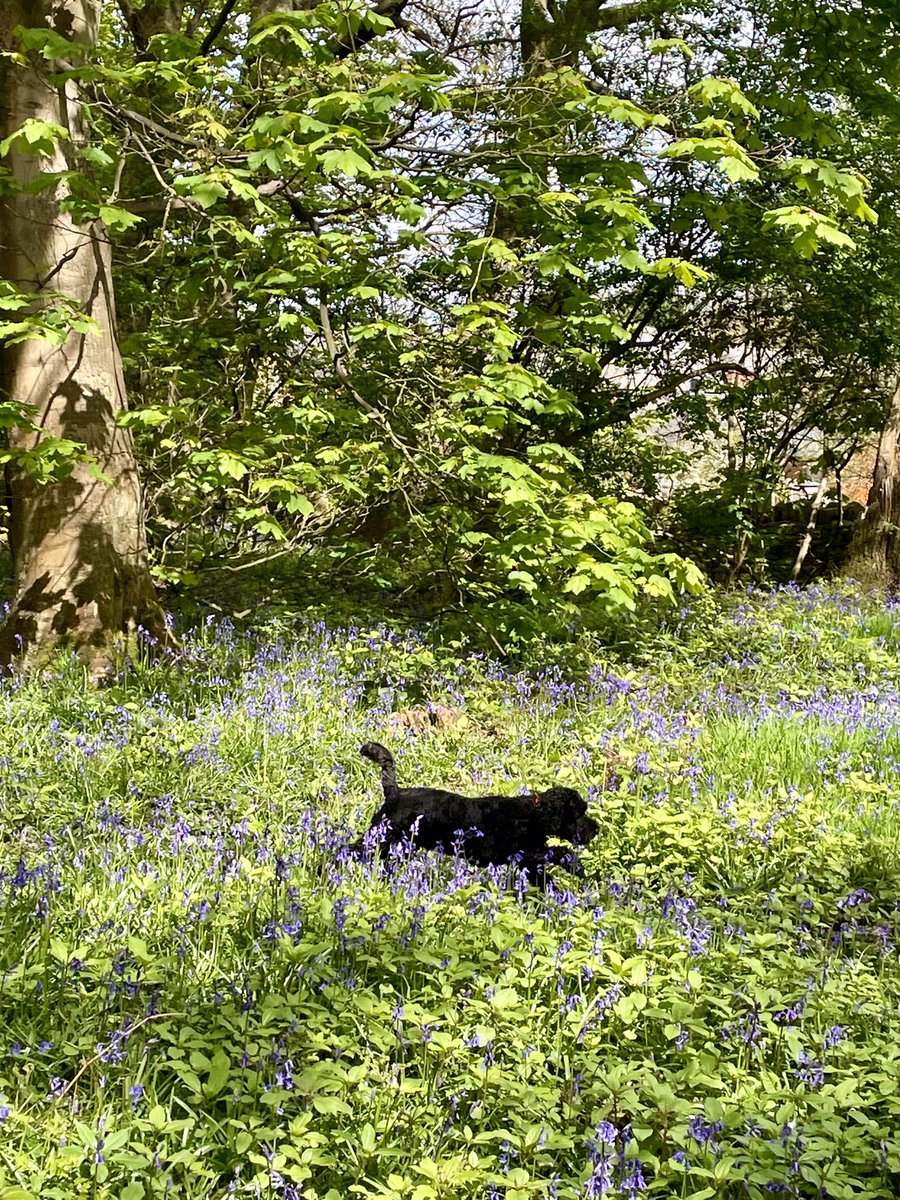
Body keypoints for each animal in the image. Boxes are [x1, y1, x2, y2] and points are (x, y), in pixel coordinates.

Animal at [357, 739, 600, 873]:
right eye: (578, 813)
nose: (596, 829)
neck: (533, 815)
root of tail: (394, 792)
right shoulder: (517, 853)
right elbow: (557, 851)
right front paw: (575, 865)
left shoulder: (527, 864)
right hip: (381, 838)